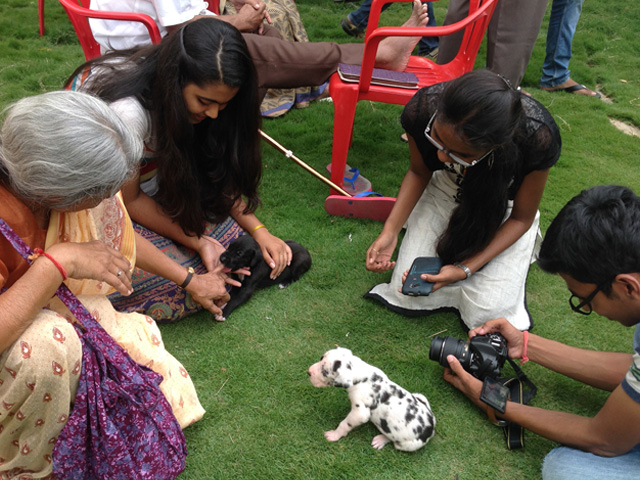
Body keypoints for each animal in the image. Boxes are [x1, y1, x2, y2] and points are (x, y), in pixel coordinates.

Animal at [306, 346, 436, 452]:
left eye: (325, 372)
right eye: (321, 358)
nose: (308, 372)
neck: (363, 376)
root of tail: (432, 425)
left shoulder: (360, 413)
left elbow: (344, 424)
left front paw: (334, 435)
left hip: (407, 444)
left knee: (393, 440)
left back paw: (381, 439)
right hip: (419, 396)